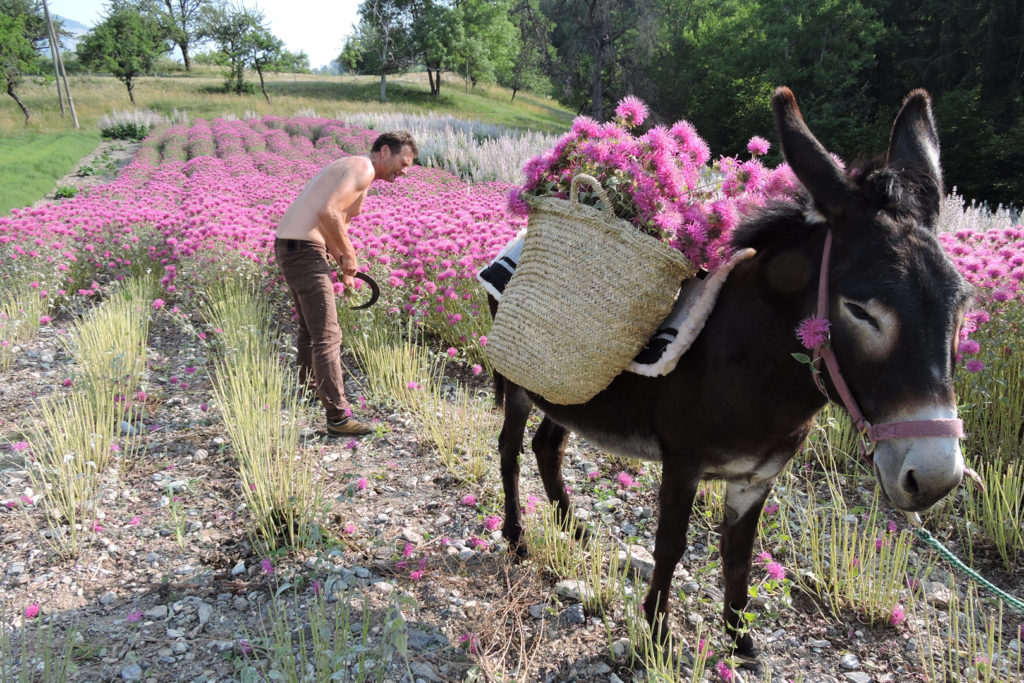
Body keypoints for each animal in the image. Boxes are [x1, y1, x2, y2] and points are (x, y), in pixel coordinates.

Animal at [489, 87, 971, 661]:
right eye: (860, 310)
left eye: (961, 304)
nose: (937, 477)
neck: (754, 374)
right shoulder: (682, 462)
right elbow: (671, 545)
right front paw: (658, 634)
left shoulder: (756, 478)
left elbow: (738, 554)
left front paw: (741, 640)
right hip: (523, 376)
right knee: (510, 450)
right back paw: (516, 537)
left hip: (573, 388)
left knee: (548, 445)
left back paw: (573, 528)